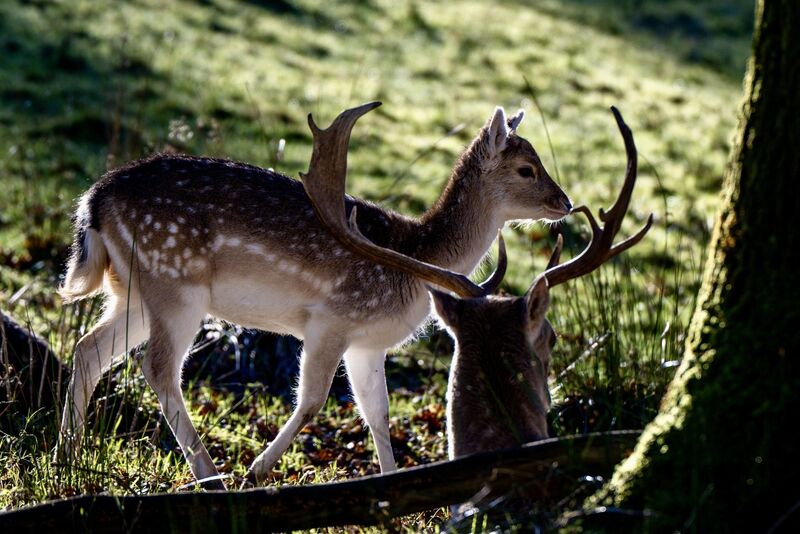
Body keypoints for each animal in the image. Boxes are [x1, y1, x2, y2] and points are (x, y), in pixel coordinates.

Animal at [55, 101, 572, 489]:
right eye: (526, 168)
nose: (565, 203)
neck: (414, 258)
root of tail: (93, 200)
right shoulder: (331, 319)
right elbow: (312, 400)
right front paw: (257, 471)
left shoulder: (368, 344)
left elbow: (378, 414)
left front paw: (396, 488)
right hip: (176, 284)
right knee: (158, 369)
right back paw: (211, 475)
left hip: (134, 295)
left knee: (87, 349)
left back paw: (66, 457)